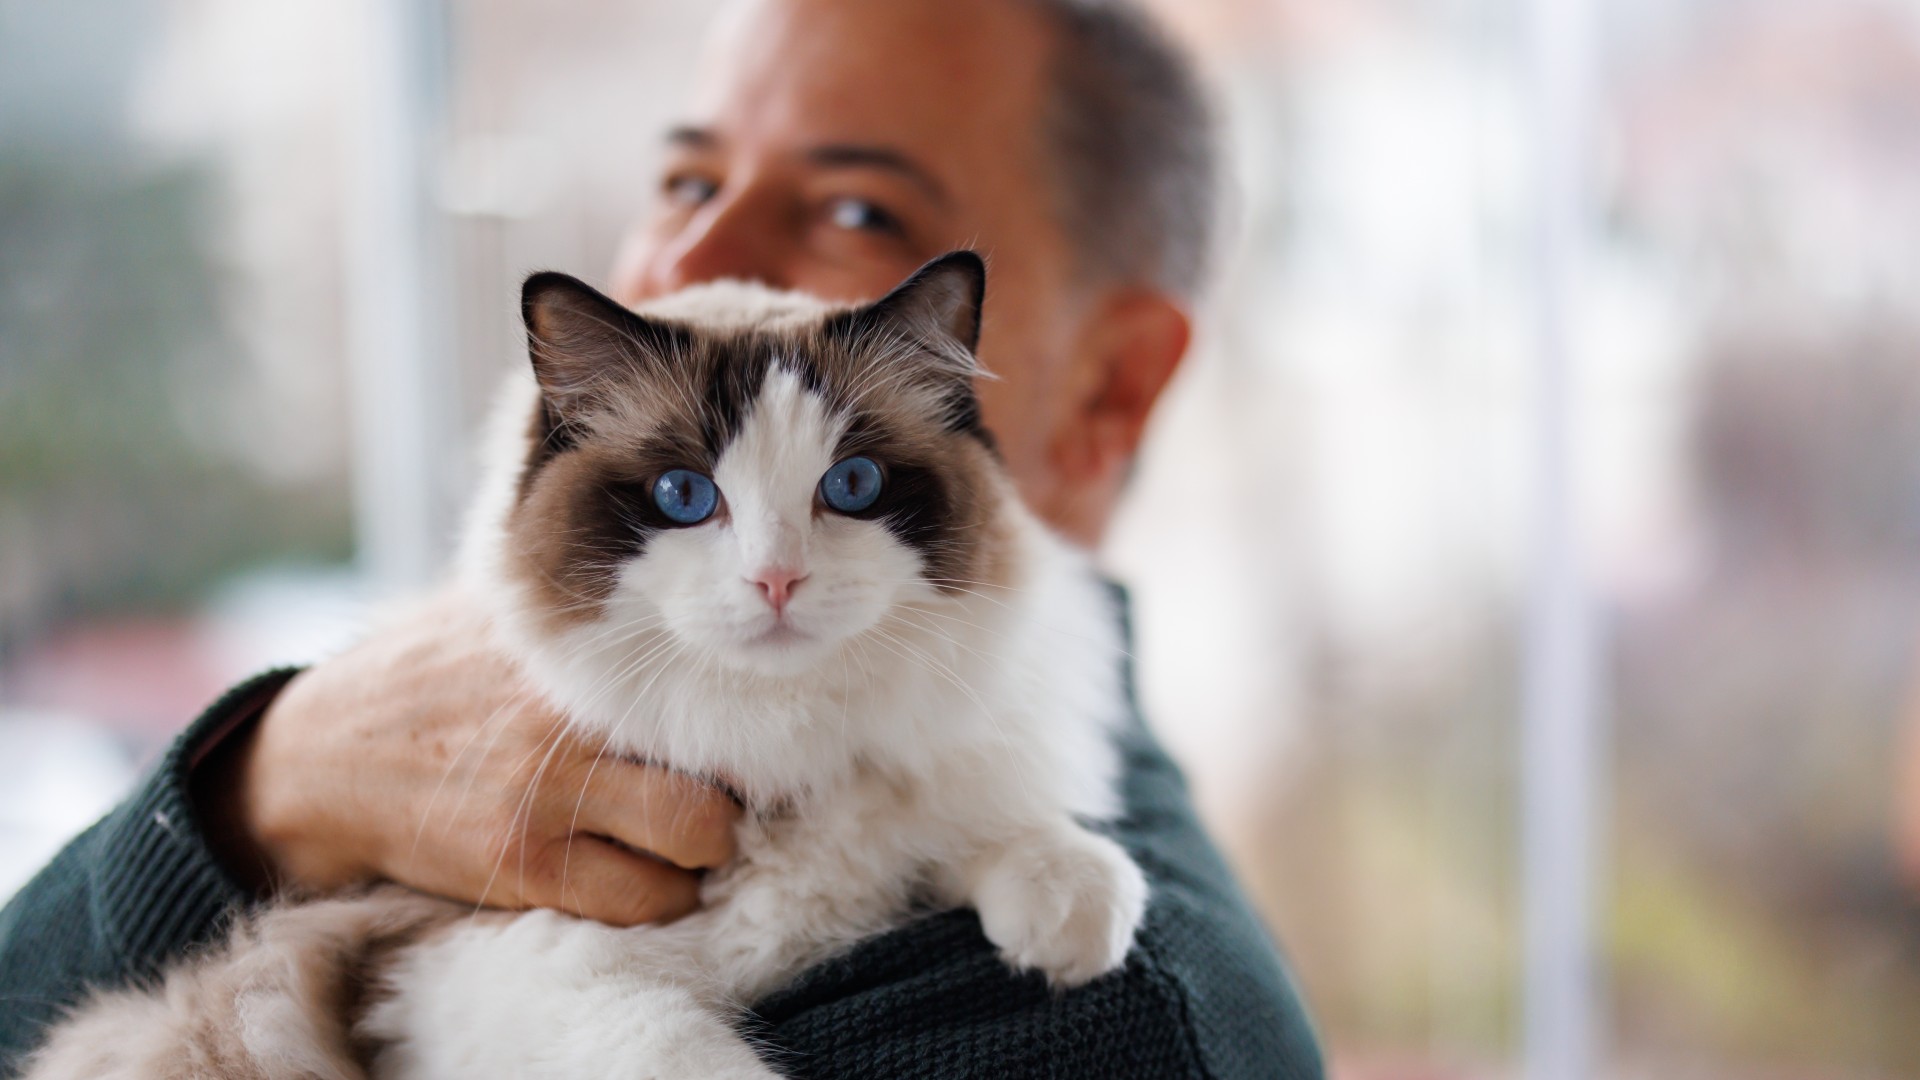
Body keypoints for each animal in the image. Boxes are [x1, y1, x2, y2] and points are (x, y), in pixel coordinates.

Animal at [26, 249, 1136, 1076]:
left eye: (853, 486)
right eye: (685, 497)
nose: (777, 579)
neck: (775, 748)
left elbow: (982, 824)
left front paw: (1070, 913)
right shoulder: (499, 971)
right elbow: (699, 1062)